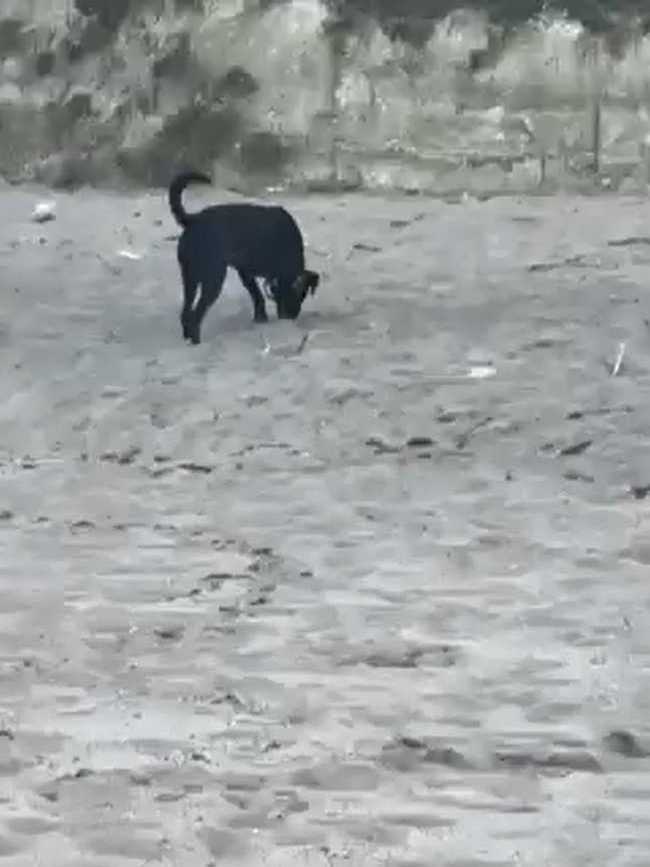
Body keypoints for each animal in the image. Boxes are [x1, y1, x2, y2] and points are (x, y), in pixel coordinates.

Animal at [168, 171, 319, 344]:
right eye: (300, 295)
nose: (290, 317)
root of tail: (194, 220)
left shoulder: (245, 271)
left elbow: (256, 293)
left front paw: (260, 316)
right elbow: (257, 293)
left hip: (190, 278)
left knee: (186, 310)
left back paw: (187, 336)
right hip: (213, 279)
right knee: (196, 314)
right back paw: (196, 340)